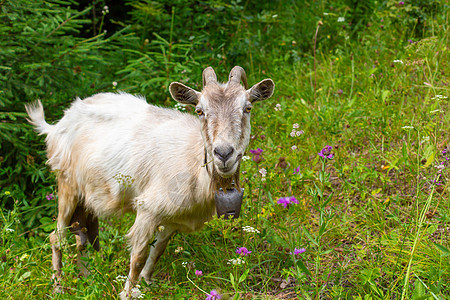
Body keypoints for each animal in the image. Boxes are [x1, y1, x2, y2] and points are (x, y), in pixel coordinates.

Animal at [26, 66, 276, 298]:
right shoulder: (148, 209)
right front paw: (127, 293)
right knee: (57, 237)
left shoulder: (174, 218)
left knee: (82, 236)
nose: (223, 153)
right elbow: (138, 256)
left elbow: (158, 251)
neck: (192, 159)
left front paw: (147, 282)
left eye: (247, 108)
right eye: (200, 110)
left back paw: (86, 277)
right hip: (67, 185)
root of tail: (57, 125)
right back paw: (58, 286)